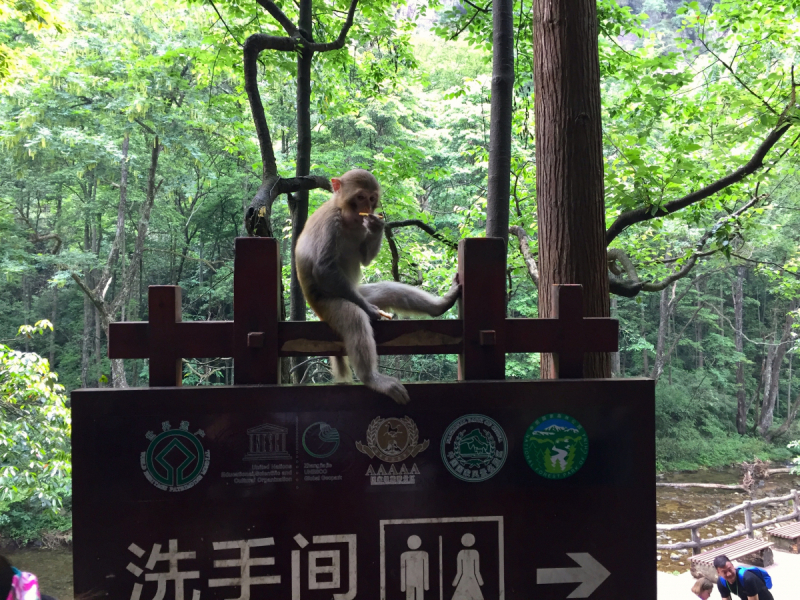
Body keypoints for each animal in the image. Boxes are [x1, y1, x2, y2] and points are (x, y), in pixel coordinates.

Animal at [294, 166, 460, 406]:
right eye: (360, 197)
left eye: (372, 199)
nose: (367, 209)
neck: (344, 214)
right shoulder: (329, 222)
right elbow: (323, 269)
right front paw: (370, 312)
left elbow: (364, 258)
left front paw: (377, 226)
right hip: (328, 304)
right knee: (355, 318)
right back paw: (372, 377)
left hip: (358, 291)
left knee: (389, 291)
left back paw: (441, 305)